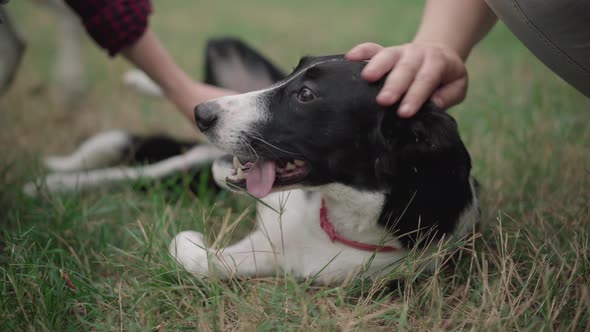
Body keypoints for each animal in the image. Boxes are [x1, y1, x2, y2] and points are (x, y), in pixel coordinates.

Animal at [25, 38, 480, 282]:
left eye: (306, 96)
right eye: (295, 73)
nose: (202, 114)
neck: (330, 214)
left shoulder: (271, 258)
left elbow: (197, 258)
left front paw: (191, 238)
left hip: (180, 173)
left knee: (129, 173)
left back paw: (50, 183)